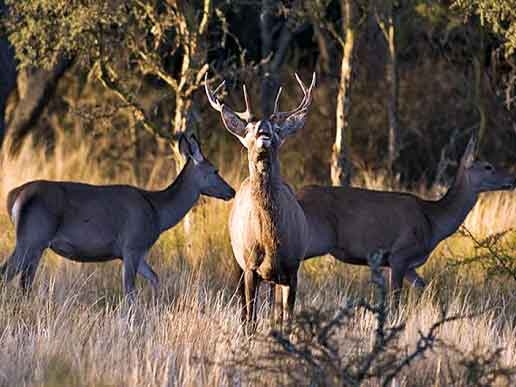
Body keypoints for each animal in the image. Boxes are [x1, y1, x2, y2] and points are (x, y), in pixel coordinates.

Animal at [0, 135, 236, 302]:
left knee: (23, 280)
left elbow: (155, 278)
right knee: (8, 275)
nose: (232, 191)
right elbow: (129, 292)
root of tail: (14, 196)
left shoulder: (137, 252)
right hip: (32, 238)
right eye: (215, 170)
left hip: (34, 243)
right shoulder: (132, 245)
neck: (157, 213)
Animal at [205, 73, 316, 328]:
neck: (271, 242)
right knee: (245, 311)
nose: (263, 134)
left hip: (276, 278)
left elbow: (287, 320)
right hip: (237, 260)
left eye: (276, 130)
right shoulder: (250, 267)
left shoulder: (292, 268)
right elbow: (251, 320)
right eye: (249, 130)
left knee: (276, 312)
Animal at [296, 136, 512, 298]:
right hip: (315, 238)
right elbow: (395, 298)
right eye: (488, 166)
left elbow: (425, 286)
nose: (512, 179)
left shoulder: (409, 264)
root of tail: (297, 196)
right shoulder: (399, 254)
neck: (432, 221)